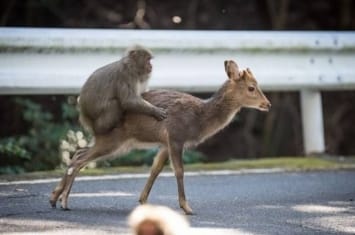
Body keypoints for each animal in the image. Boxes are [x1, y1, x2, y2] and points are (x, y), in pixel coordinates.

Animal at [50, 59, 272, 215]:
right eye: (252, 87)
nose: (268, 104)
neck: (199, 118)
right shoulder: (175, 136)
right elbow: (179, 171)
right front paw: (187, 207)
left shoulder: (165, 143)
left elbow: (155, 169)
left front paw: (142, 201)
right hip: (113, 140)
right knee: (79, 158)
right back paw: (64, 202)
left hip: (115, 142)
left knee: (78, 152)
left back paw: (54, 198)